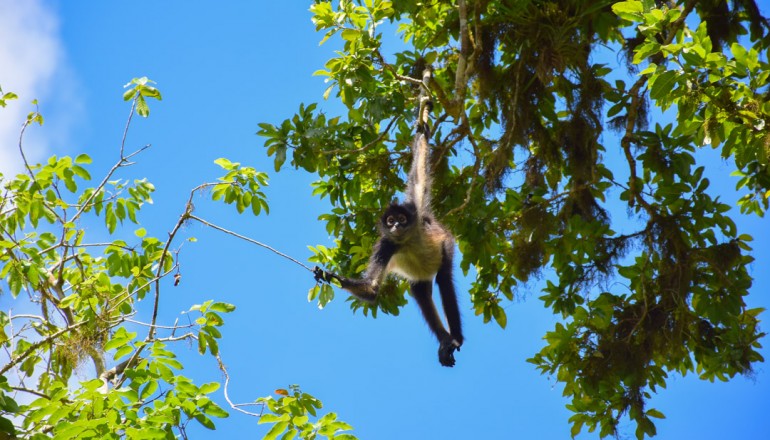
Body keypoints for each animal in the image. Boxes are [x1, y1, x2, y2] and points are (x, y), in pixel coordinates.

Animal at [312, 69, 462, 366]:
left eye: (401, 221)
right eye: (390, 223)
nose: (394, 227)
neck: (405, 240)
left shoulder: (413, 210)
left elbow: (419, 173)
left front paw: (422, 128)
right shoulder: (386, 245)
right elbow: (371, 288)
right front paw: (327, 275)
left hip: (446, 244)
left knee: (444, 281)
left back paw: (456, 338)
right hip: (419, 276)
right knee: (421, 292)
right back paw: (444, 341)